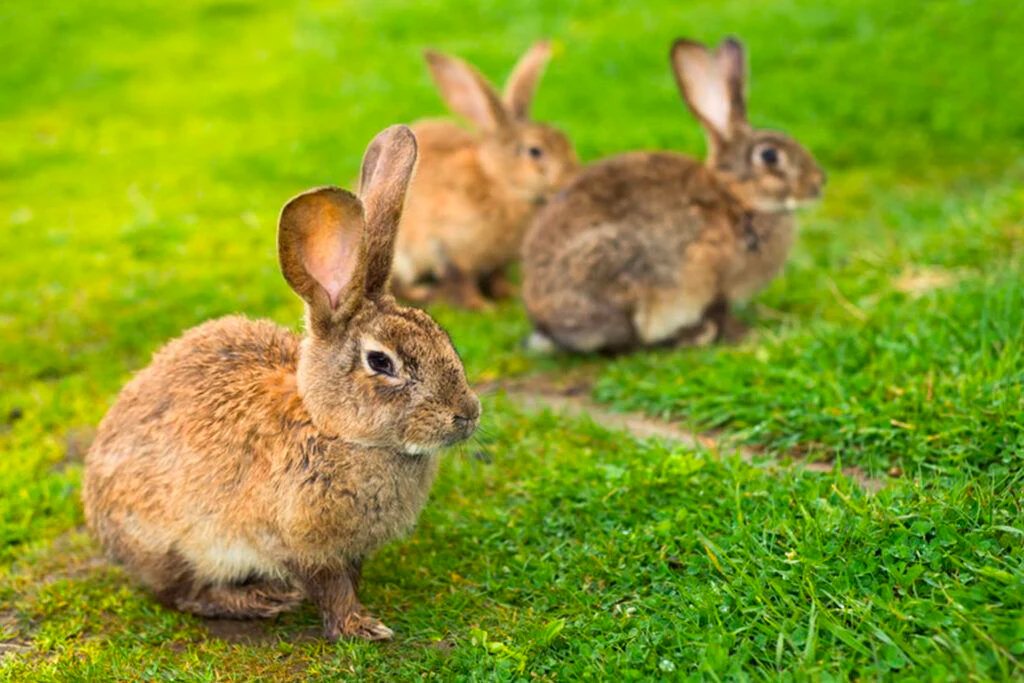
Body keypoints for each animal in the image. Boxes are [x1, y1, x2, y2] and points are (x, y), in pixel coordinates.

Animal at [82, 125, 481, 642]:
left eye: (442, 338)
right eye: (381, 361)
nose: (467, 414)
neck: (334, 430)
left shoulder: (350, 549)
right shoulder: (297, 543)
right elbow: (329, 587)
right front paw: (360, 629)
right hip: (172, 543)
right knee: (182, 593)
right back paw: (259, 599)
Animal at [392, 41, 579, 310]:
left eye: (565, 140)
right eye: (535, 151)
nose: (573, 177)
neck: (500, 184)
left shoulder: (497, 262)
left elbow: (496, 277)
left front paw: (509, 295)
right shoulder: (448, 248)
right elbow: (462, 280)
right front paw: (483, 308)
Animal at [521, 36, 825, 353]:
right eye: (769, 156)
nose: (819, 183)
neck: (736, 196)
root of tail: (546, 326)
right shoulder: (713, 278)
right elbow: (719, 310)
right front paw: (744, 335)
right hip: (619, 270)